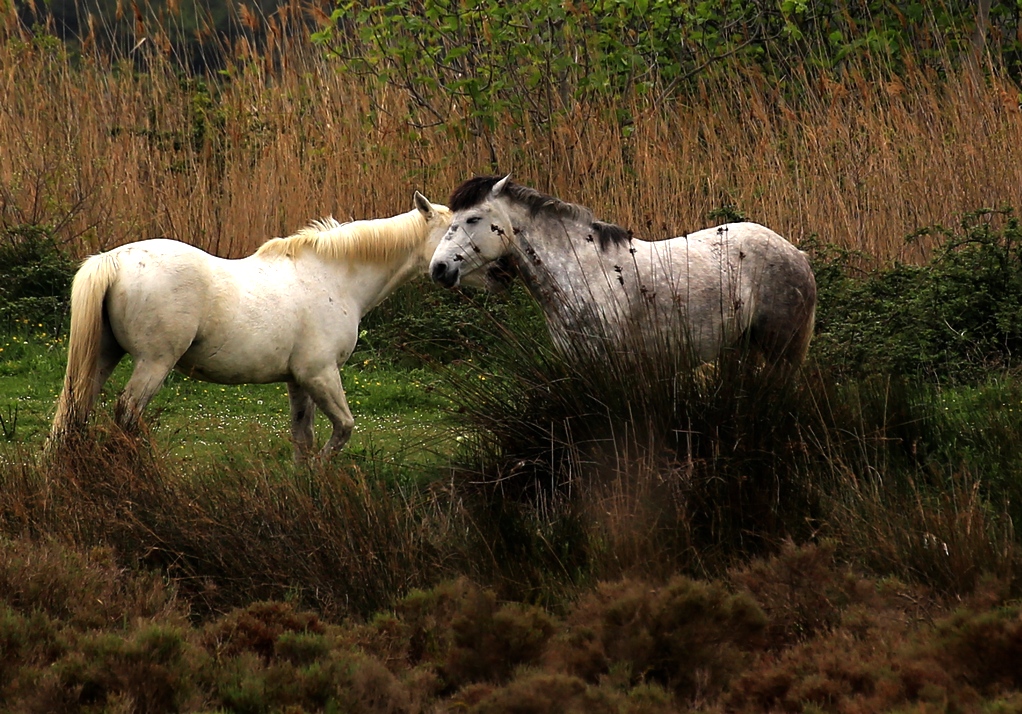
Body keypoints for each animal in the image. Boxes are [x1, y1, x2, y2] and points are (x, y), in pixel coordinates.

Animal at [51, 191, 451, 457]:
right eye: (451, 230)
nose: (451, 270)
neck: (333, 277)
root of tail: (113, 260)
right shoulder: (320, 373)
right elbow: (342, 429)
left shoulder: (299, 380)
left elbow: (303, 438)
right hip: (154, 363)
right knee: (126, 413)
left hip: (104, 355)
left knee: (76, 408)